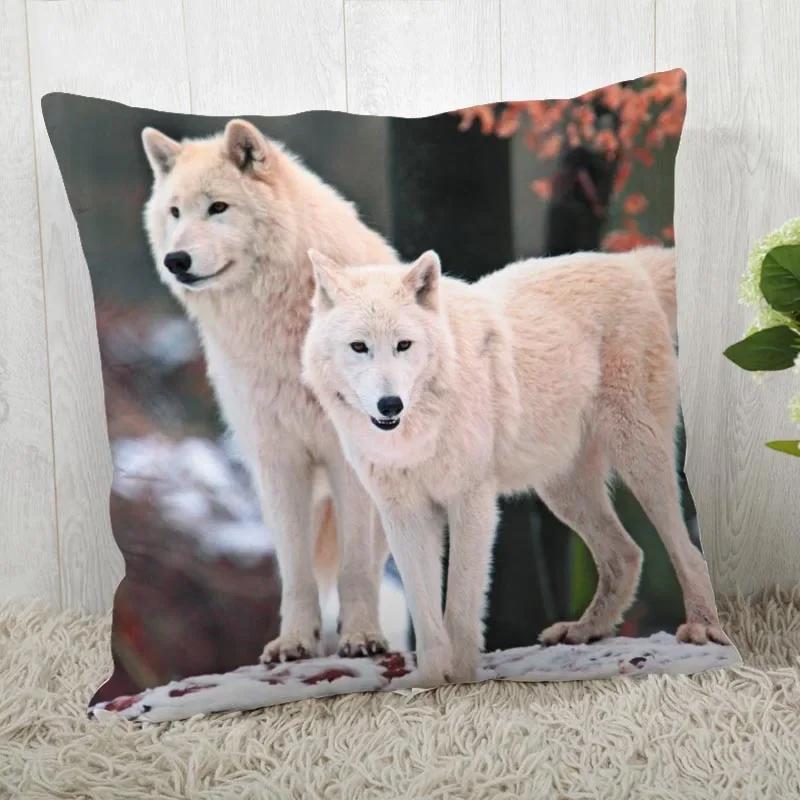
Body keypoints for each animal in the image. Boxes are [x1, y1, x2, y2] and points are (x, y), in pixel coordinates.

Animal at [141, 119, 397, 661]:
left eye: (218, 207)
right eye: (175, 212)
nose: (176, 260)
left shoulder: (347, 461)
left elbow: (356, 567)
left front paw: (362, 637)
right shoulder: (279, 459)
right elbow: (296, 573)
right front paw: (295, 641)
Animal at [302, 246, 727, 684]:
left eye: (404, 345)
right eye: (359, 347)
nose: (390, 405)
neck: (417, 435)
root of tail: (631, 264)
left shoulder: (472, 504)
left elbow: (459, 609)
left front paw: (463, 678)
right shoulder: (404, 514)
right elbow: (425, 614)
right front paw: (432, 682)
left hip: (641, 460)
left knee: (687, 551)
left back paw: (702, 627)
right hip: (562, 491)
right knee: (627, 555)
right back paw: (584, 630)